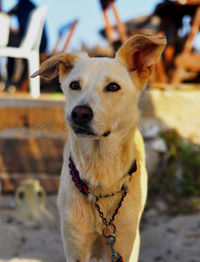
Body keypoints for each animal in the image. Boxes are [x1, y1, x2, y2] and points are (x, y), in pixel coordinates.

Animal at [32, 34, 166, 262]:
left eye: (113, 87)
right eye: (74, 85)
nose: (79, 113)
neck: (100, 171)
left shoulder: (124, 244)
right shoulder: (75, 245)